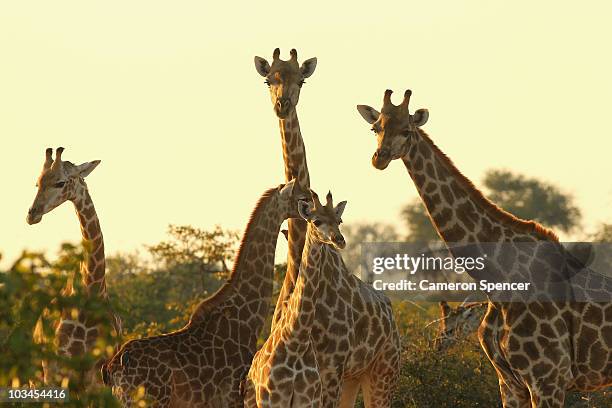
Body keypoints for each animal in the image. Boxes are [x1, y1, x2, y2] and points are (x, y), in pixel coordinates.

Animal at [25, 147, 121, 386]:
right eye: (37, 183)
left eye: (60, 183)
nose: (32, 214)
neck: (91, 293)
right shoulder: (57, 366)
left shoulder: (97, 371)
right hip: (37, 376)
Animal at [255, 49, 402, 406]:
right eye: (269, 79)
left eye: (301, 80)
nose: (283, 105)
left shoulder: (332, 365)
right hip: (353, 378)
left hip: (380, 372)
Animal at [356, 90, 612, 408]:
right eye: (375, 128)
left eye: (406, 130)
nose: (379, 158)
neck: (498, 280)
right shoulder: (509, 382)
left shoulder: (548, 379)